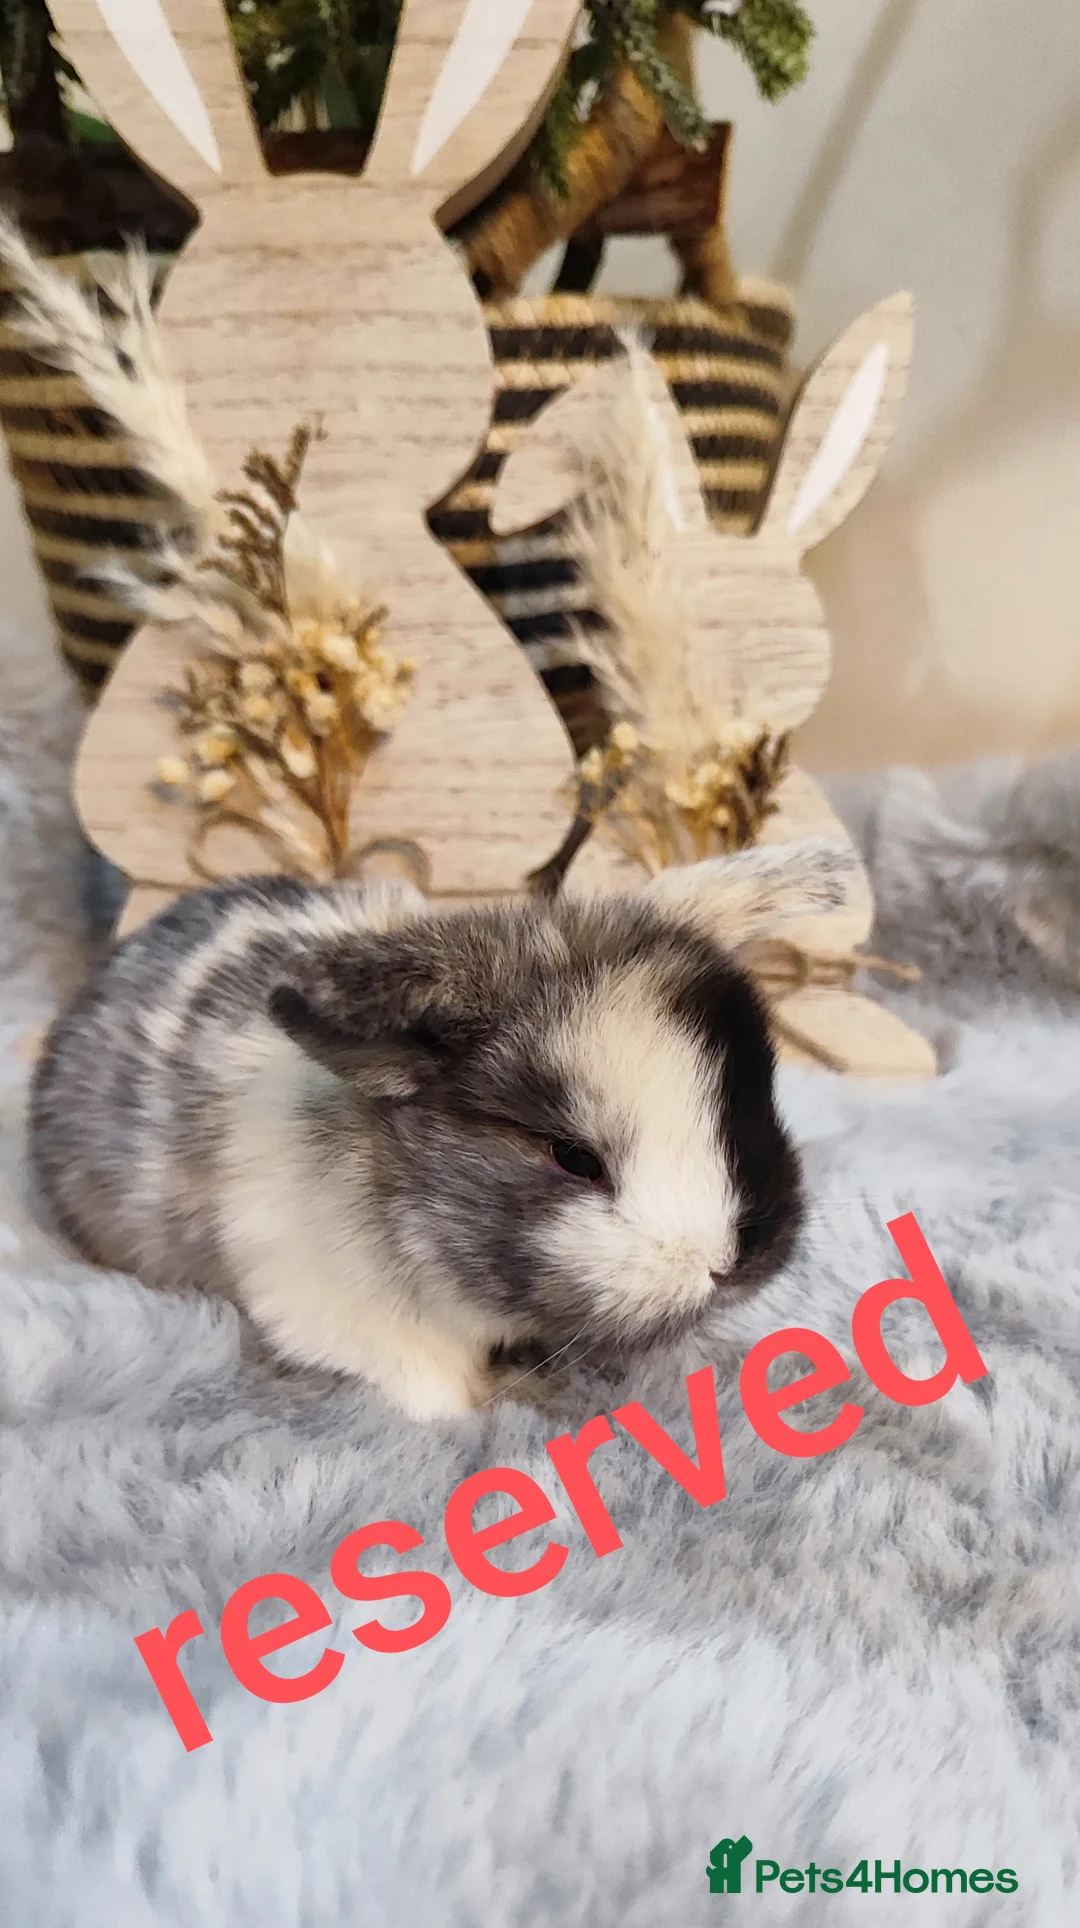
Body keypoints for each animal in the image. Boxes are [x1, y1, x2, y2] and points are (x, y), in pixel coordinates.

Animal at [27, 837, 858, 1422]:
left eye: (753, 1099)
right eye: (572, 1156)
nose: (731, 1265)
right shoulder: (354, 1320)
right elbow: (439, 1391)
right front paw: (511, 1402)